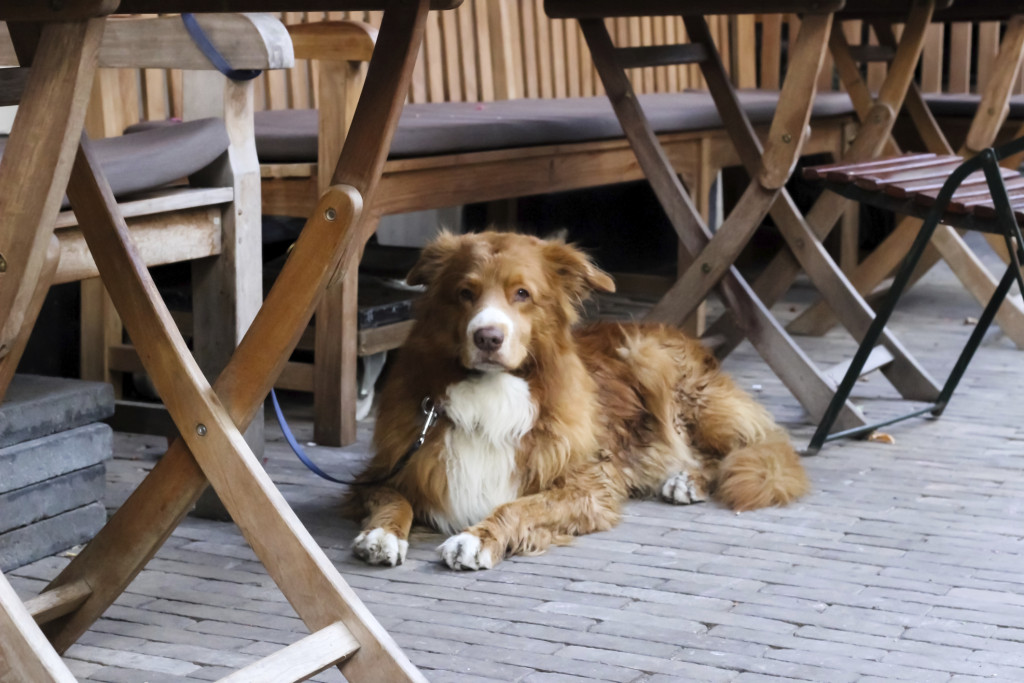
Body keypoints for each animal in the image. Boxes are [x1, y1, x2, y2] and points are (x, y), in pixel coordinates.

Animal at [346, 232, 806, 569]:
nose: (488, 337)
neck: (493, 391)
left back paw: (686, 479)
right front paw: (382, 534)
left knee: (729, 451)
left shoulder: (587, 485)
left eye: (522, 294)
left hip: (655, 365)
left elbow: (518, 506)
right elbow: (394, 500)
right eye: (464, 293)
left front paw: (477, 538)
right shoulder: (382, 470)